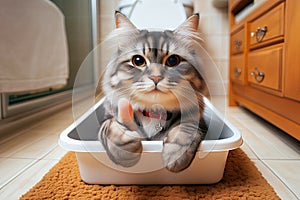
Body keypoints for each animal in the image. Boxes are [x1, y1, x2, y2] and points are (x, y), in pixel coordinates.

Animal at [98, 10, 209, 173]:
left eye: (173, 61)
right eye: (138, 61)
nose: (156, 77)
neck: (154, 110)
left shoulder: (199, 121)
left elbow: (185, 130)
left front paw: (175, 156)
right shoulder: (108, 117)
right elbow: (109, 128)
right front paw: (124, 149)